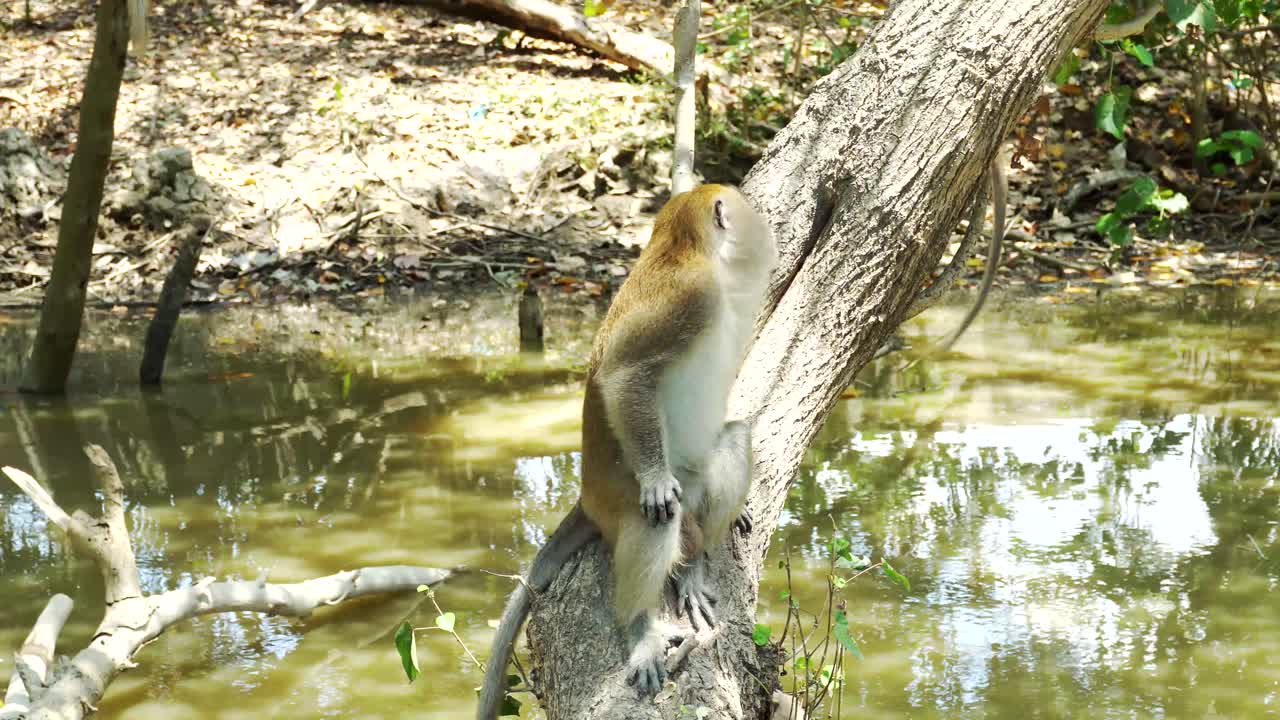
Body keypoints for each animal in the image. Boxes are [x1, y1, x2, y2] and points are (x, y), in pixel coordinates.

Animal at [476, 184, 777, 720]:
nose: (762, 225)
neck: (689, 249)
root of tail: (586, 497)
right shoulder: (692, 295)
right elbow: (625, 375)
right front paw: (655, 479)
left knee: (734, 442)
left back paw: (693, 568)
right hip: (616, 501)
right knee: (656, 515)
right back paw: (641, 627)